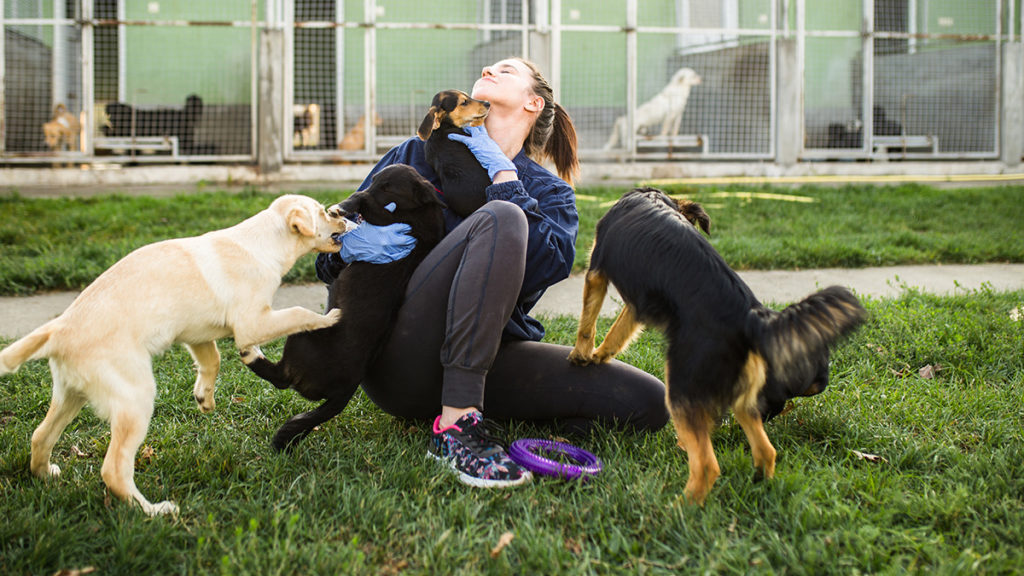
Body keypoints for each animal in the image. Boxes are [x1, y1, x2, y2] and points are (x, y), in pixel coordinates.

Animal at [0, 193, 356, 516]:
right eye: (323, 212)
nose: (342, 213)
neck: (262, 243)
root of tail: (59, 330)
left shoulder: (198, 333)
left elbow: (212, 360)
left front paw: (204, 398)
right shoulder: (251, 323)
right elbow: (297, 313)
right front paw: (329, 317)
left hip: (69, 394)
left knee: (40, 436)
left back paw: (46, 475)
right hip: (135, 398)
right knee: (113, 470)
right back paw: (154, 511)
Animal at [243, 163, 448, 450]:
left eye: (388, 188)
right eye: (374, 179)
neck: (421, 210)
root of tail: (345, 392)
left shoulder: (391, 217)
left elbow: (364, 203)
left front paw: (341, 208)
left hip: (303, 336)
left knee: (280, 377)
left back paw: (250, 352)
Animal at [569, 187, 864, 502]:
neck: (656, 196)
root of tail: (750, 318)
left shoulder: (596, 271)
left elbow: (588, 322)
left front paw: (581, 355)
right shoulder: (639, 302)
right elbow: (618, 331)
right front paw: (600, 356)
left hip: (682, 388)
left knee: (707, 465)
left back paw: (677, 507)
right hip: (744, 399)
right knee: (766, 450)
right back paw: (759, 487)